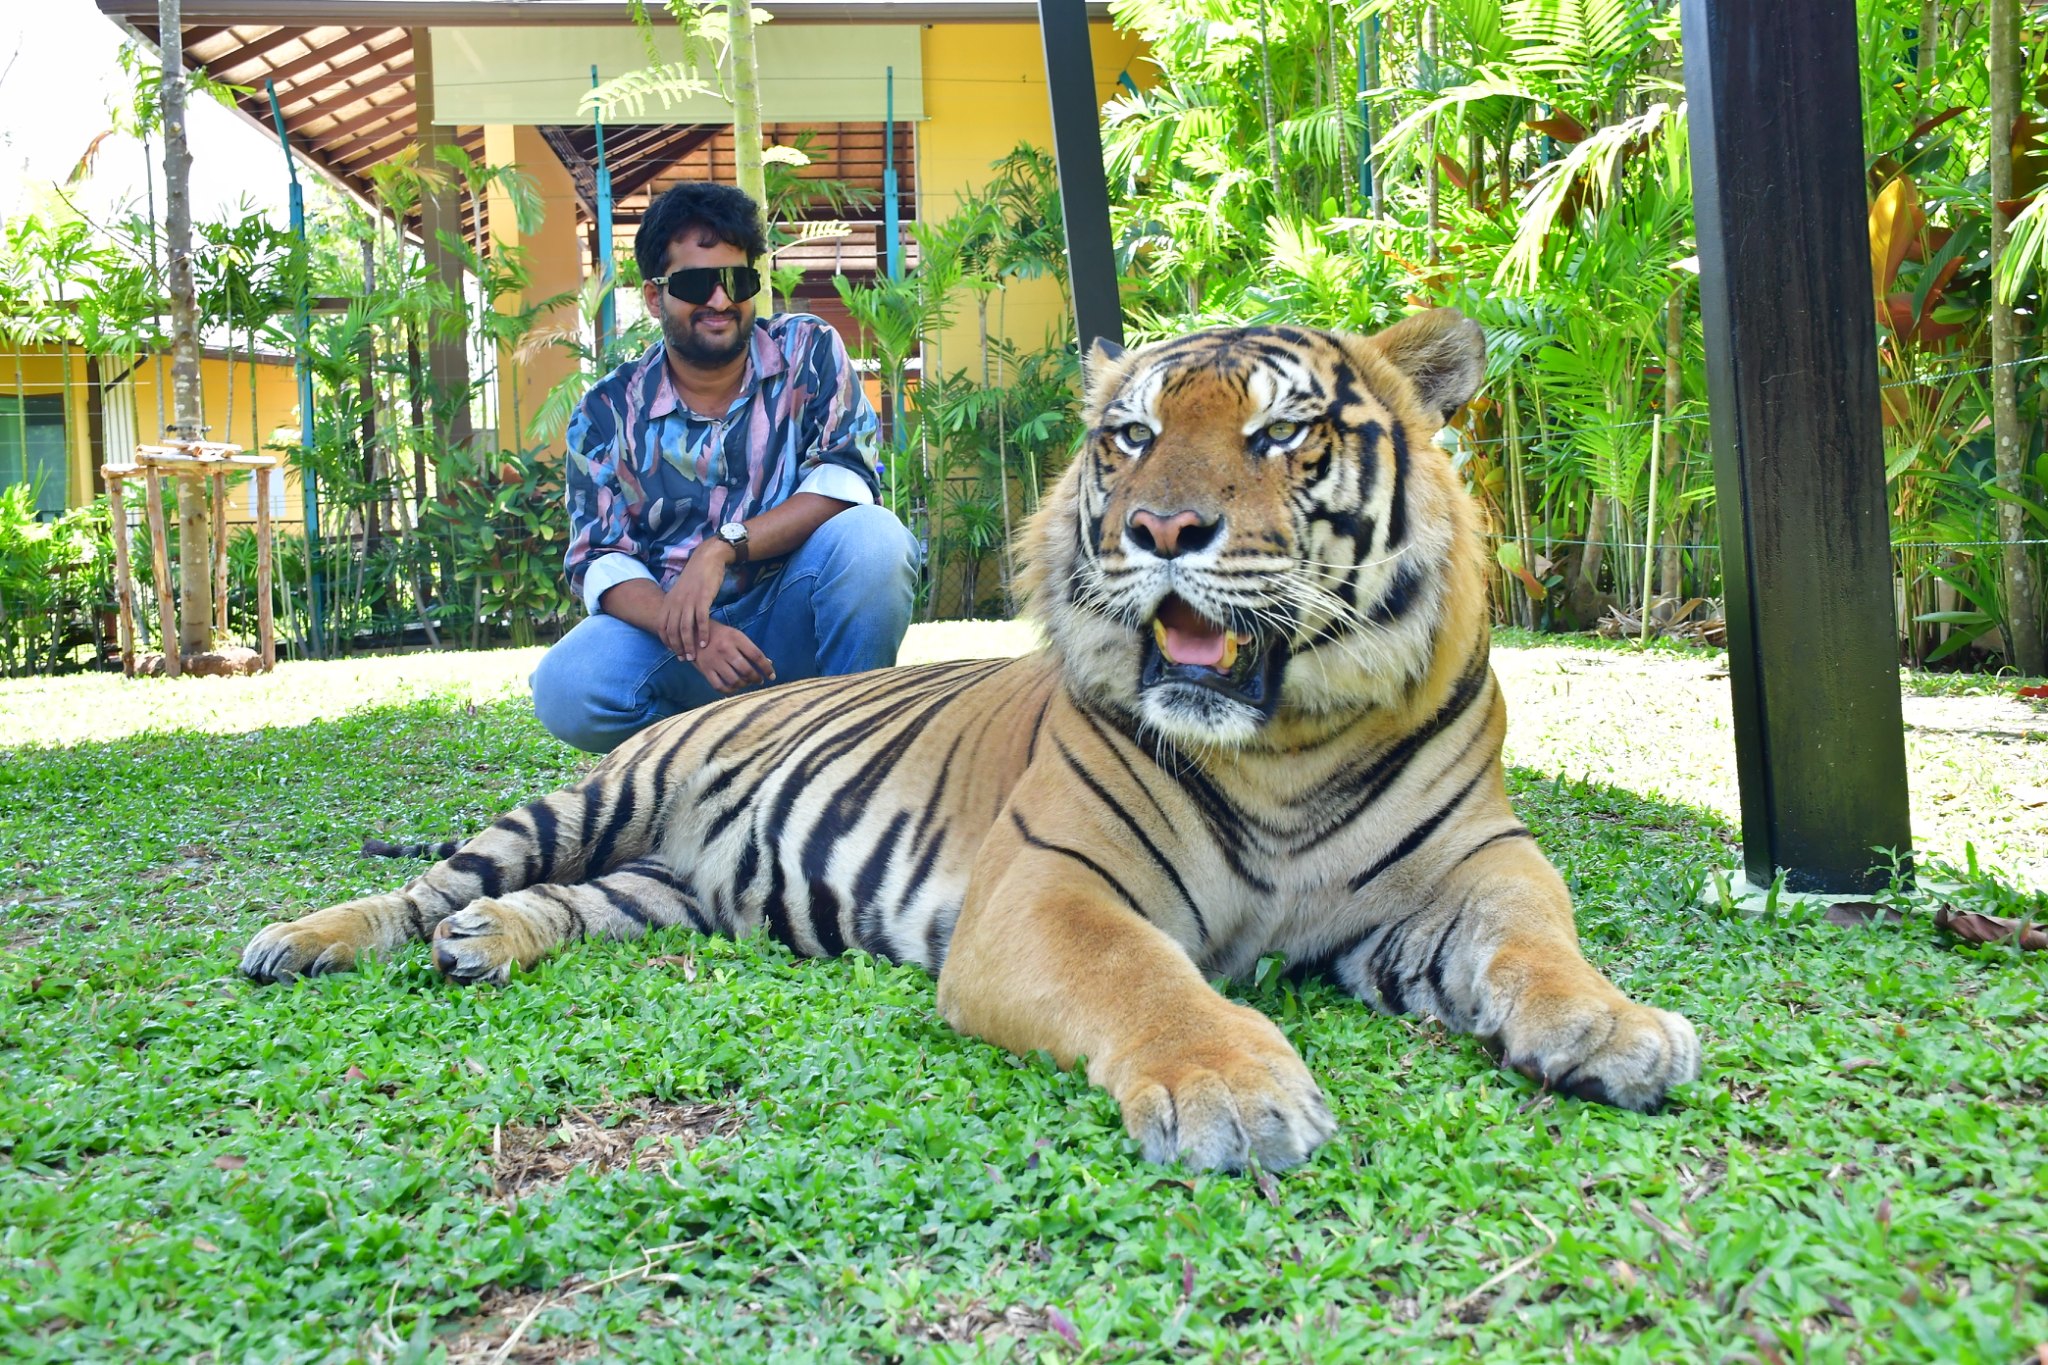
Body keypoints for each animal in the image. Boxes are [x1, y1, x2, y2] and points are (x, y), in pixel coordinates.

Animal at [240, 308, 1700, 1173]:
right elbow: (1150, 980)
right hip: (586, 800)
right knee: (434, 881)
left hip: (667, 890)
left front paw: (1616, 1028)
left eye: (1283, 431)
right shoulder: (1049, 890)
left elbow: (1536, 945)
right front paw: (1234, 1089)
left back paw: (488, 943)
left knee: (570, 907)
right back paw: (307, 941)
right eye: (1131, 436)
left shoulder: (1473, 870)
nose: (1160, 531)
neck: (1282, 743)